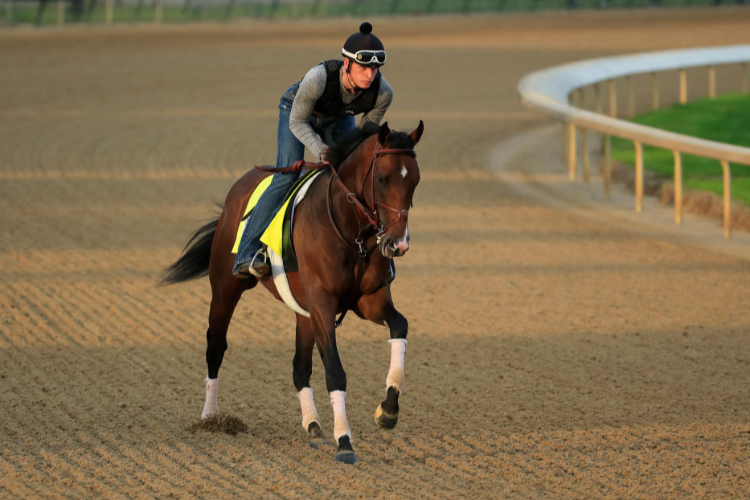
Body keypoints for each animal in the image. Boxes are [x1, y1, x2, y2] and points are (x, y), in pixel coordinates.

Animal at [162, 119, 426, 462]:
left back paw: (312, 424)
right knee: (215, 346)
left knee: (300, 367)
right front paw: (345, 441)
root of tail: (238, 189)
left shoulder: (369, 299)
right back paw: (210, 417)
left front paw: (388, 409)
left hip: (303, 312)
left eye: (415, 181)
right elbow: (335, 371)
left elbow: (400, 326)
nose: (397, 244)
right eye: (381, 178)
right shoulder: (323, 304)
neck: (349, 230)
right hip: (225, 288)